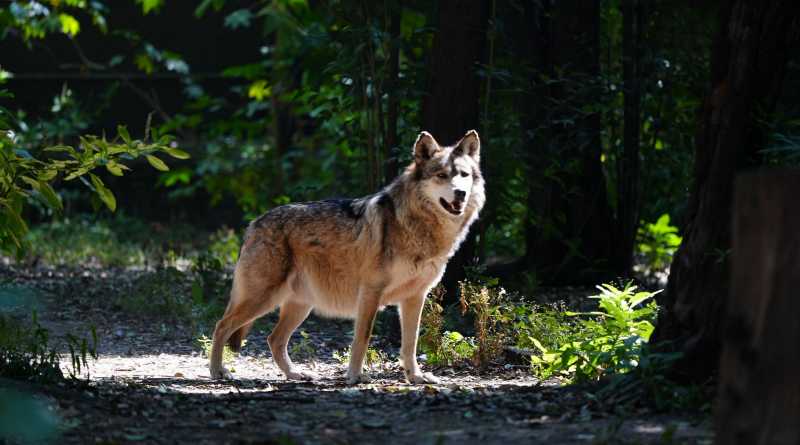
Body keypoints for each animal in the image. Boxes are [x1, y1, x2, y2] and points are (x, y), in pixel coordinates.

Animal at [208, 129, 485, 384]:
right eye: (441, 175)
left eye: (463, 175)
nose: (460, 193)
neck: (418, 226)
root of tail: (253, 225)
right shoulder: (370, 293)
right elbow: (362, 338)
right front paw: (355, 376)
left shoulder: (414, 297)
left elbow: (411, 343)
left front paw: (415, 377)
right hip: (263, 299)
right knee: (221, 325)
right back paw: (218, 372)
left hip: (299, 305)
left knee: (273, 339)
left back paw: (295, 374)